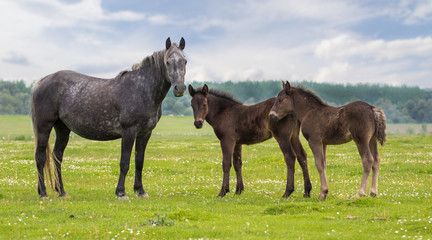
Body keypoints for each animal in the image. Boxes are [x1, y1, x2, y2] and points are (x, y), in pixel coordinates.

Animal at [30, 37, 186, 199]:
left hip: (62, 129)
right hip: (44, 127)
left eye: (185, 61)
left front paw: (140, 191)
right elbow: (124, 162)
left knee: (57, 157)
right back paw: (43, 193)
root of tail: (41, 82)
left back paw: (62, 192)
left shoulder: (145, 133)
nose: (180, 88)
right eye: (167, 62)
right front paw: (121, 193)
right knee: (40, 157)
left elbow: (139, 162)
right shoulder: (129, 132)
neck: (142, 89)